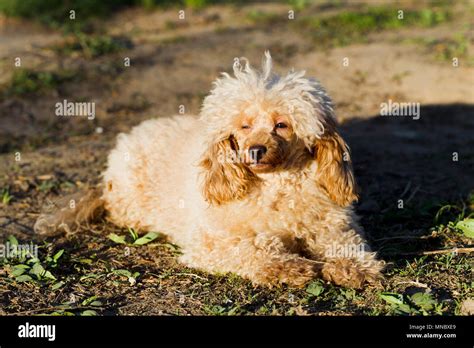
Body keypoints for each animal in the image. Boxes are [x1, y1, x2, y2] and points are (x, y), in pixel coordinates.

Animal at [37, 51, 386, 286]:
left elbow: (347, 243)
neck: (276, 185)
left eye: (282, 124)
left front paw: (353, 267)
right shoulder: (210, 240)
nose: (255, 150)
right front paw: (287, 266)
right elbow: (251, 247)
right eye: (244, 126)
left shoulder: (333, 223)